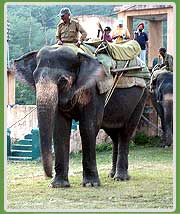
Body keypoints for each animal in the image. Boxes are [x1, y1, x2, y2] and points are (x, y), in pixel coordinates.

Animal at [14, 45, 148, 187]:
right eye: (35, 79)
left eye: (63, 81)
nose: (48, 176)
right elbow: (60, 128)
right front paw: (58, 185)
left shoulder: (94, 90)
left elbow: (87, 127)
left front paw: (90, 184)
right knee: (113, 134)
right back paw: (112, 175)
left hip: (142, 97)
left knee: (126, 132)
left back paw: (120, 178)